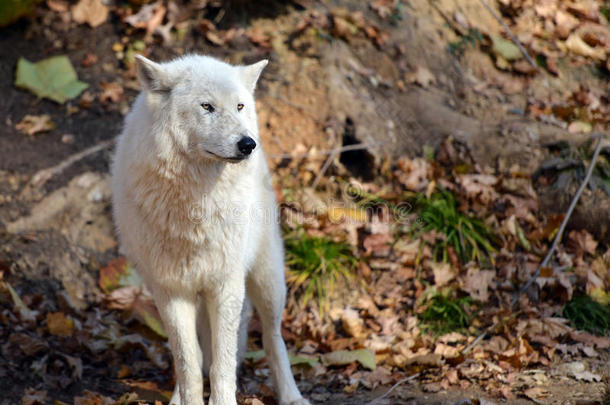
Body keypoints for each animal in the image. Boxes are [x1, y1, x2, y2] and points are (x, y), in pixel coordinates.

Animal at [110, 54, 308, 404]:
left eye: (239, 106)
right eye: (207, 106)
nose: (247, 144)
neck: (195, 207)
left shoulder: (226, 284)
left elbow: (223, 363)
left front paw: (223, 399)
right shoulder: (171, 290)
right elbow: (189, 363)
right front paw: (189, 399)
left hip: (267, 281)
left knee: (272, 337)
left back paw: (291, 395)